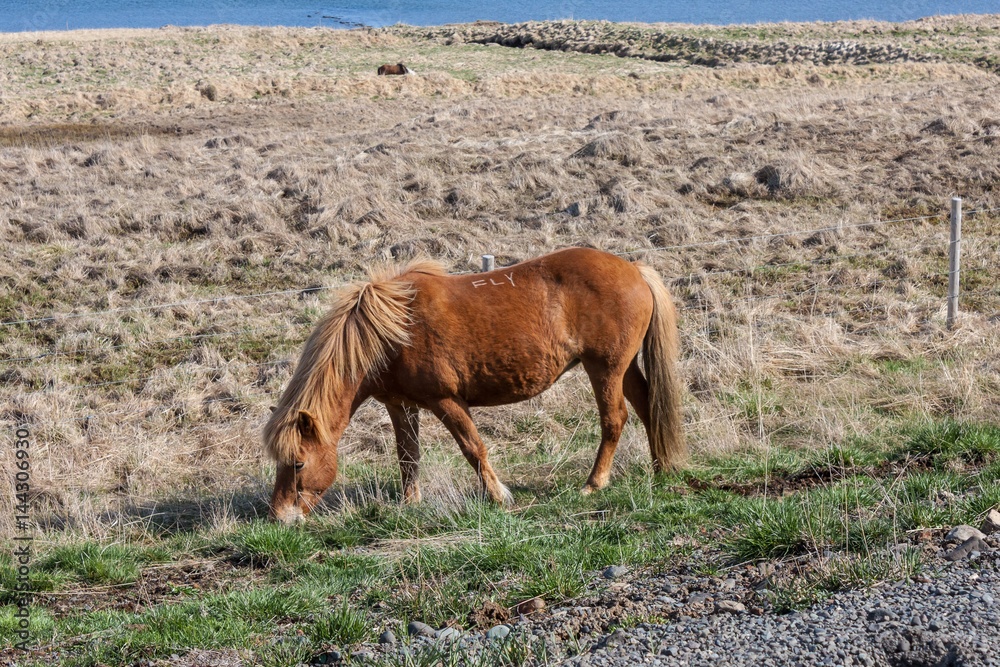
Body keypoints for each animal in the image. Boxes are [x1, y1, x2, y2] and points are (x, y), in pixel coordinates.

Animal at [264, 247, 685, 523]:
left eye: (298, 462)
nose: (280, 517)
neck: (390, 332)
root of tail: (633, 269)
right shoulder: (401, 405)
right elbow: (407, 456)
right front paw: (410, 504)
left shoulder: (446, 400)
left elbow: (473, 448)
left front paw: (499, 496)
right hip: (623, 369)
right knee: (648, 407)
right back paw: (661, 469)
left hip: (605, 369)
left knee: (615, 419)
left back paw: (594, 484)